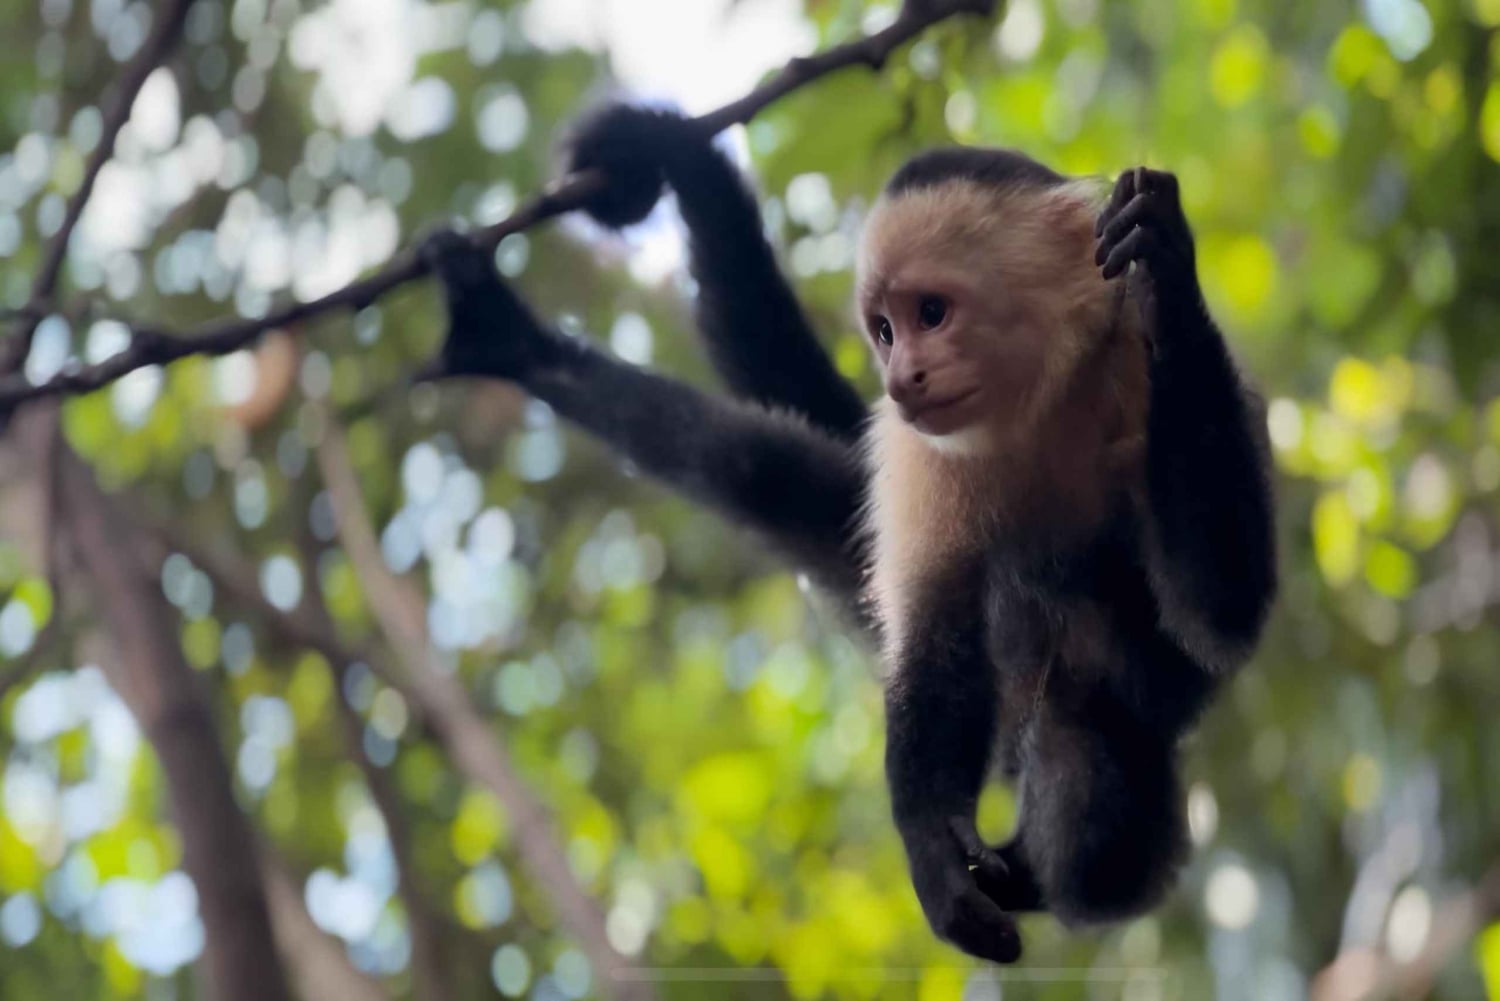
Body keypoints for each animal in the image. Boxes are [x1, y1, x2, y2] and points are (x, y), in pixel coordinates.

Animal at [416, 106, 1276, 964]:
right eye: (885, 330)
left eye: (932, 313)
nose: (901, 380)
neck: (1042, 398)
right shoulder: (915, 453)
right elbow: (930, 640)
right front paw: (935, 854)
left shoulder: (1133, 367)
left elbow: (1220, 612)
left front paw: (1164, 272)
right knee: (759, 470)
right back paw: (517, 347)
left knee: (1097, 796)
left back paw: (1030, 871)